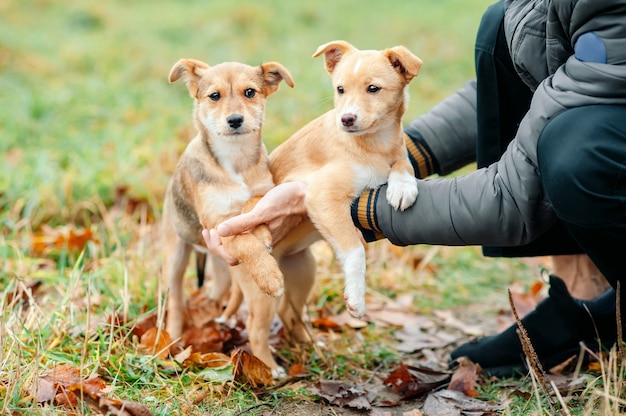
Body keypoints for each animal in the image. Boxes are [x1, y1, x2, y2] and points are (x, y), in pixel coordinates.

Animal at [163, 59, 294, 352]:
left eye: (250, 92)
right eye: (215, 96)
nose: (235, 120)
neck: (234, 159)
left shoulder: (264, 191)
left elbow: (253, 204)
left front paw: (262, 232)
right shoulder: (217, 224)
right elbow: (244, 241)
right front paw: (269, 276)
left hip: (221, 269)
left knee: (216, 292)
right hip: (176, 257)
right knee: (175, 302)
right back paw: (172, 340)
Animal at [219, 40, 420, 376]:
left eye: (373, 89)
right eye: (340, 89)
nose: (346, 119)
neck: (373, 144)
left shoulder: (396, 151)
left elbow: (403, 161)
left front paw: (403, 187)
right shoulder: (321, 195)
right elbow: (355, 250)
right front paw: (356, 298)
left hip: (303, 273)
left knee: (291, 314)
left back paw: (310, 345)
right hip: (263, 291)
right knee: (256, 328)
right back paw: (269, 368)